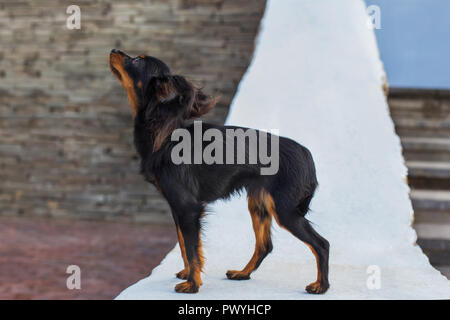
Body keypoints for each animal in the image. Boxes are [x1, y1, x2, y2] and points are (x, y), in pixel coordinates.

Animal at [107, 48, 328, 294]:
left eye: (137, 60)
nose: (114, 50)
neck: (165, 132)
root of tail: (306, 154)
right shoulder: (178, 208)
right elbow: (185, 244)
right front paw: (187, 274)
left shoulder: (187, 207)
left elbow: (191, 248)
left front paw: (192, 284)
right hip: (259, 204)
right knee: (265, 245)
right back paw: (242, 273)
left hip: (284, 209)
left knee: (321, 244)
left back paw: (321, 286)